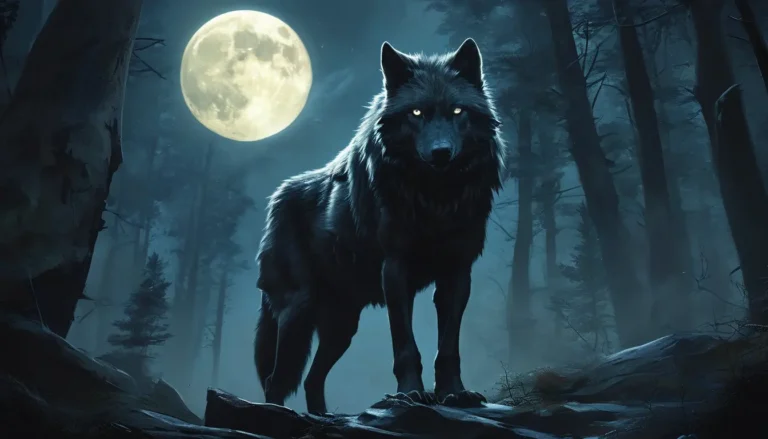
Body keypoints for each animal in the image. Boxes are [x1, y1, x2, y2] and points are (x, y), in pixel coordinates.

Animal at [253, 38, 505, 413]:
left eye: (458, 112)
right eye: (416, 114)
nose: (441, 152)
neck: (436, 200)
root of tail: (276, 197)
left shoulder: (457, 272)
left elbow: (448, 347)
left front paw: (455, 394)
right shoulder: (396, 269)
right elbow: (405, 345)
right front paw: (410, 394)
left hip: (342, 326)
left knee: (313, 379)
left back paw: (324, 417)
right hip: (298, 313)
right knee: (276, 380)